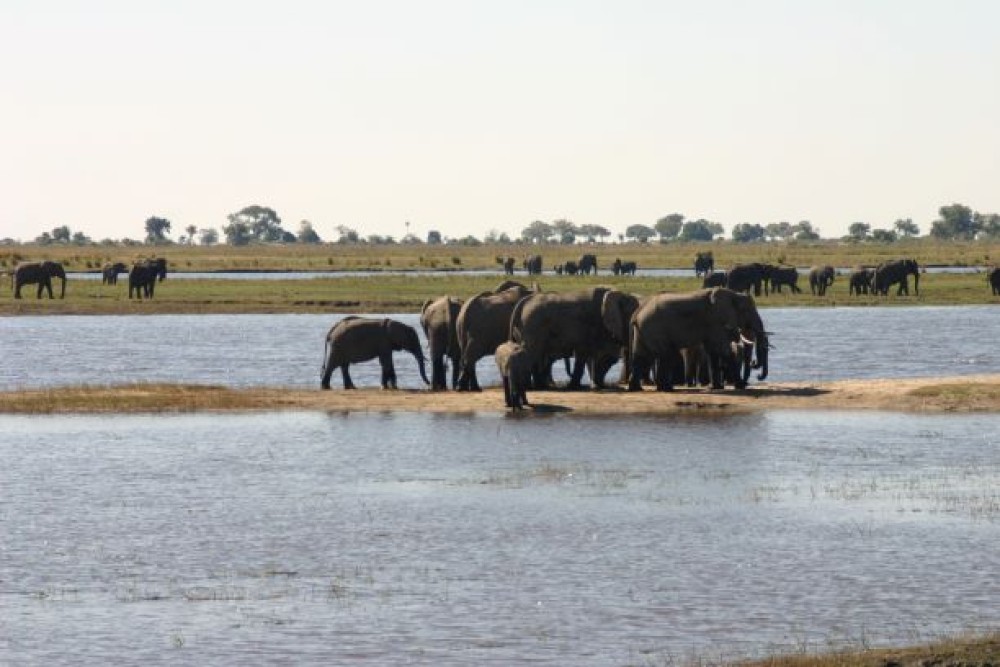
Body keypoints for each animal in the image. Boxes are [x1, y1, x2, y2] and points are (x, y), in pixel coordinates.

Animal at [628, 290, 768, 394]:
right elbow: (723, 350)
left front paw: (716, 387)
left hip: (643, 330)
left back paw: (638, 388)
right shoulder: (716, 322)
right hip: (655, 328)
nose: (754, 363)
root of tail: (637, 313)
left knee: (640, 356)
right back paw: (666, 389)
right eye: (747, 311)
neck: (734, 294)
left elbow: (713, 352)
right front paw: (740, 386)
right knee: (665, 355)